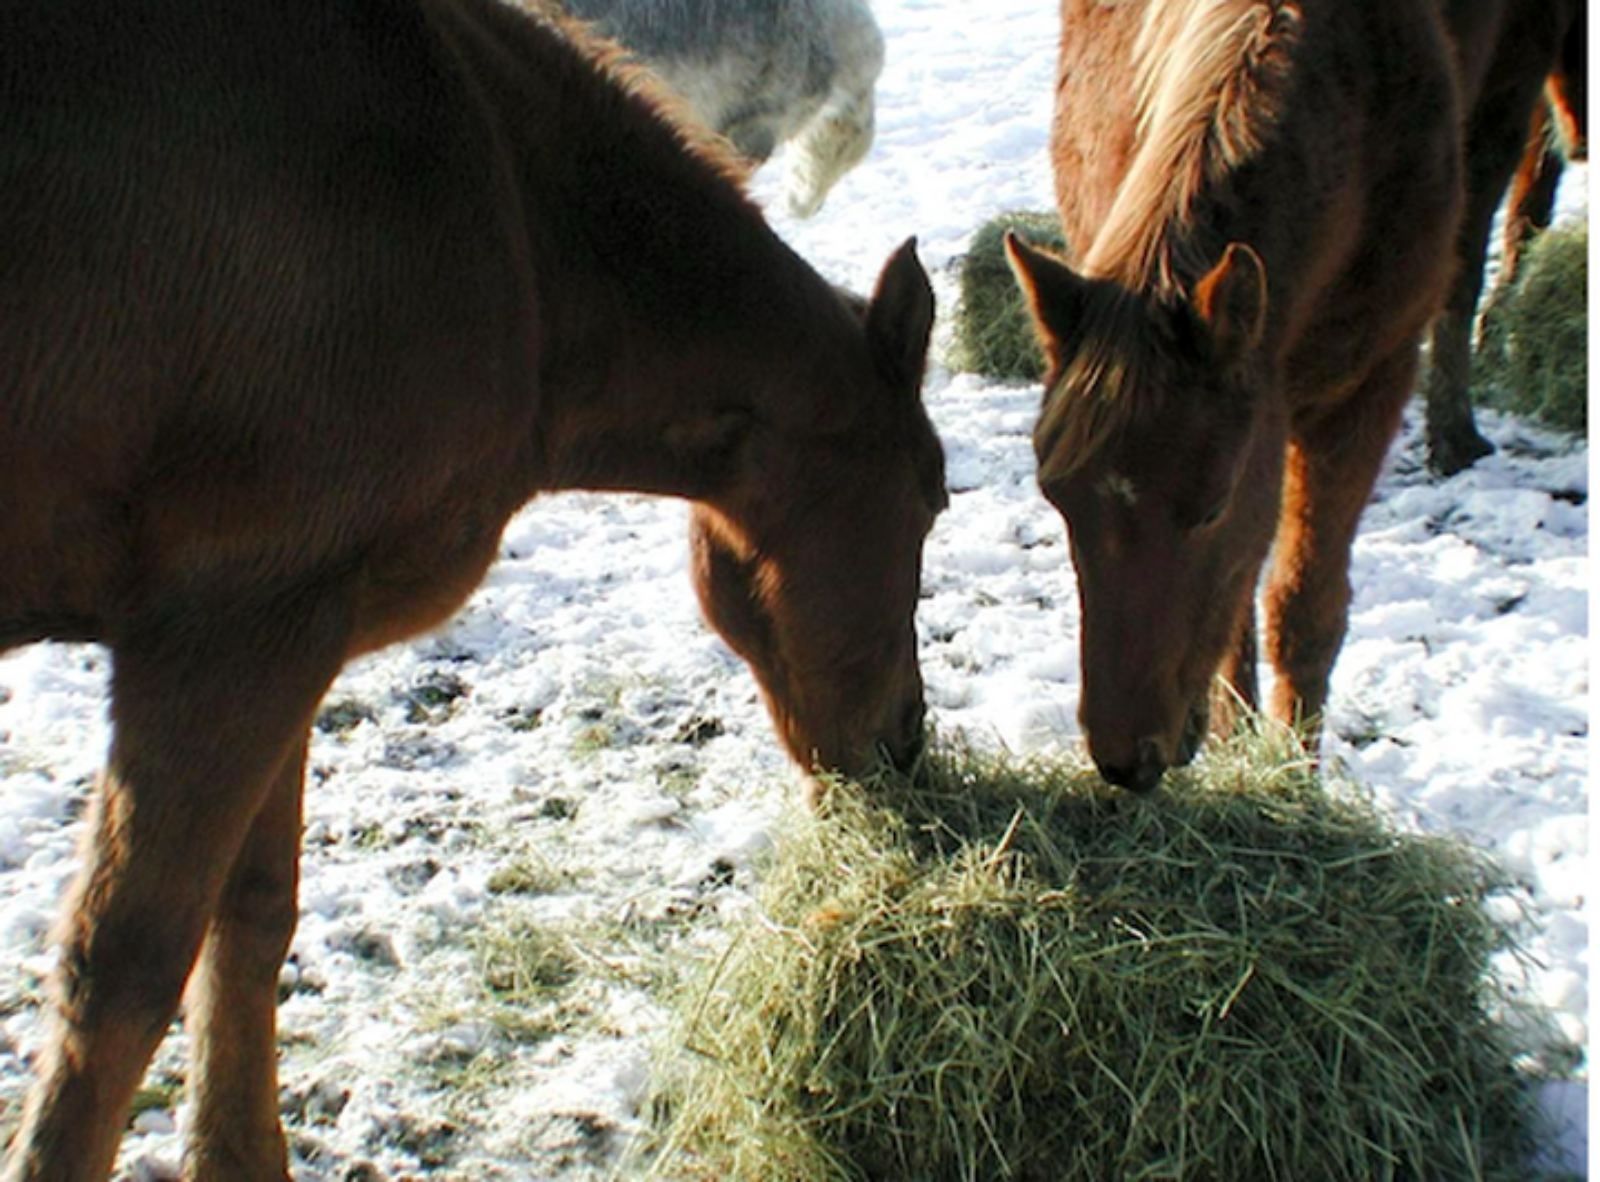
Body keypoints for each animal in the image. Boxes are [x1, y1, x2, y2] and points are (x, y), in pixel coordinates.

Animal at [0, 2, 940, 1182]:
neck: (511, 221)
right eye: (929, 498)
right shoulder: (226, 638)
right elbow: (118, 980)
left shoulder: (294, 633)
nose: (908, 740)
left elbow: (250, 920)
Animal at [1011, 2, 1465, 796]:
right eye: (1058, 499)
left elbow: (1306, 611)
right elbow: (1236, 617)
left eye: (1212, 506)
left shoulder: (1370, 388)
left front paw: (1299, 782)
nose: (1123, 759)